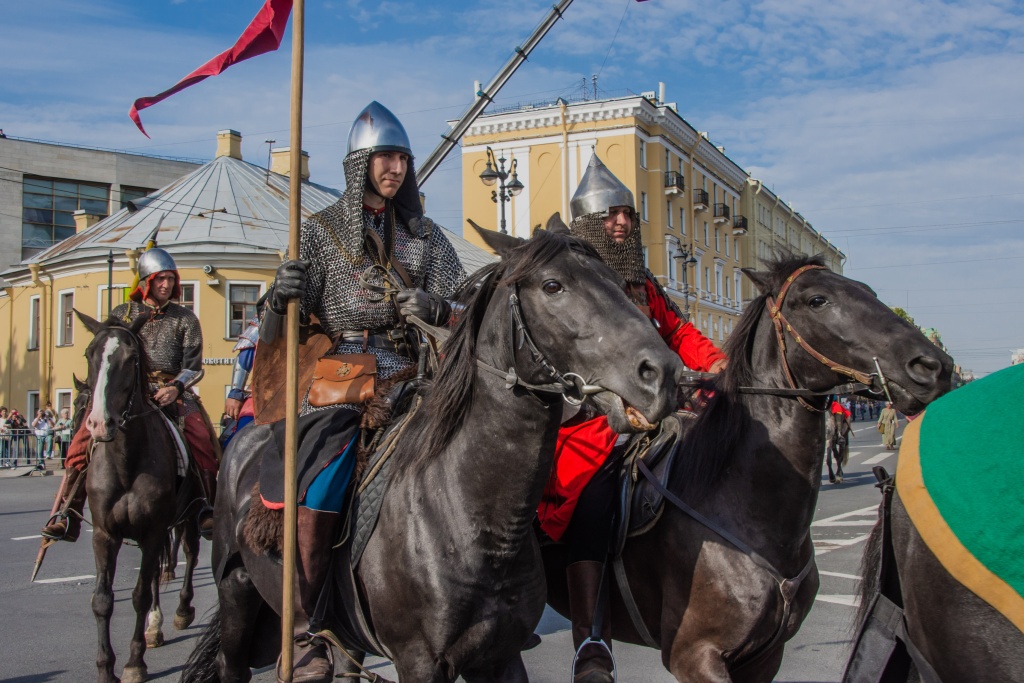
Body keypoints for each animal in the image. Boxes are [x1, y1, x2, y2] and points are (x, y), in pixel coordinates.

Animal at [184, 231, 684, 683]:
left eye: (619, 284)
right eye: (552, 285)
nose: (663, 374)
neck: (472, 517)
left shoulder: (500, 657)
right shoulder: (420, 662)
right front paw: (286, 285)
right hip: (236, 589)